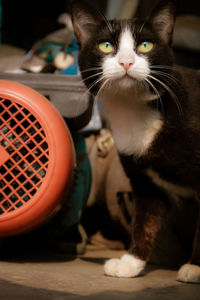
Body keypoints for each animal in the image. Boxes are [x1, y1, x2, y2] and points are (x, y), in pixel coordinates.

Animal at [71, 0, 200, 282]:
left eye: (146, 45)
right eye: (106, 45)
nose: (126, 61)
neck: (133, 110)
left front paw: (196, 267)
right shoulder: (143, 181)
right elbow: (144, 221)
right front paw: (131, 263)